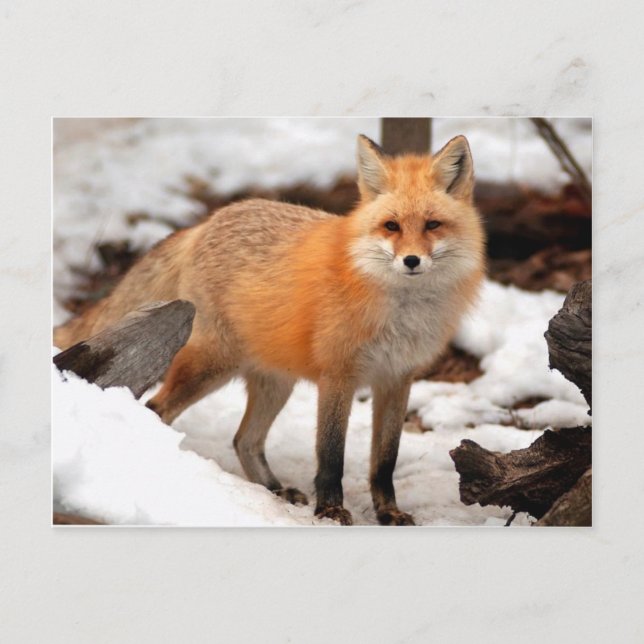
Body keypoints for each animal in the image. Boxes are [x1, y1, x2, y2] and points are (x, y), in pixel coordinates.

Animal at [54, 134, 485, 526]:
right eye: (391, 226)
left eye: (432, 225)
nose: (411, 261)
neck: (400, 313)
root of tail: (208, 222)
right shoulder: (338, 376)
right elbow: (331, 456)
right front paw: (330, 511)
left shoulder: (397, 379)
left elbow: (385, 460)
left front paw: (388, 512)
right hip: (211, 365)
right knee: (156, 409)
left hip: (276, 382)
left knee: (244, 440)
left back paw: (274, 489)